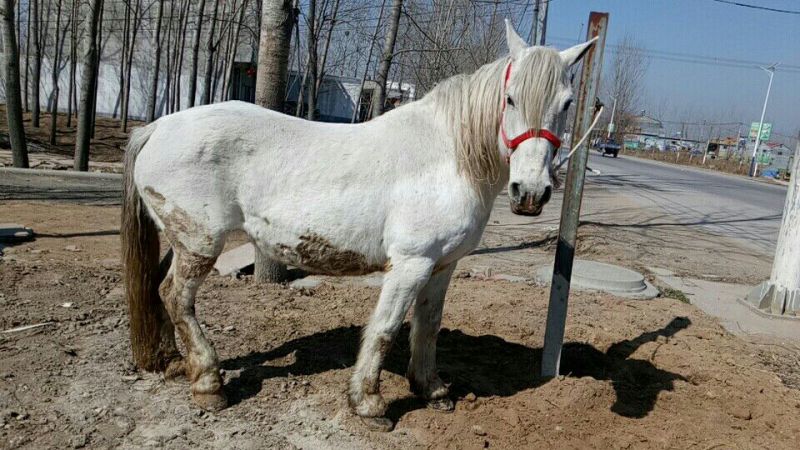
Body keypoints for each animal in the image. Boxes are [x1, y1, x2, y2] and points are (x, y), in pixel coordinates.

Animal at [121, 20, 595, 430]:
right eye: (510, 98)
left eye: (567, 103)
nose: (530, 192)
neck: (448, 157)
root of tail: (159, 127)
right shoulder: (411, 264)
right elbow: (386, 329)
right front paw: (368, 404)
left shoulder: (443, 265)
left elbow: (428, 325)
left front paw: (433, 390)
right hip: (200, 243)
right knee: (176, 296)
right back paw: (209, 384)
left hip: (183, 240)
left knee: (158, 288)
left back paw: (174, 363)